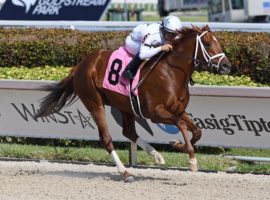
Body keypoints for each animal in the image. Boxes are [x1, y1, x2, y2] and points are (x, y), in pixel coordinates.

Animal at [34, 25, 231, 181]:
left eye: (219, 42)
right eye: (207, 43)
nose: (226, 66)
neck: (171, 73)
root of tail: (80, 66)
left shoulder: (178, 110)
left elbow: (197, 130)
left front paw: (178, 145)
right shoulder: (156, 113)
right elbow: (181, 125)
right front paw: (191, 159)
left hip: (125, 106)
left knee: (128, 132)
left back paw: (156, 155)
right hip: (94, 103)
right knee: (106, 139)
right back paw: (125, 173)